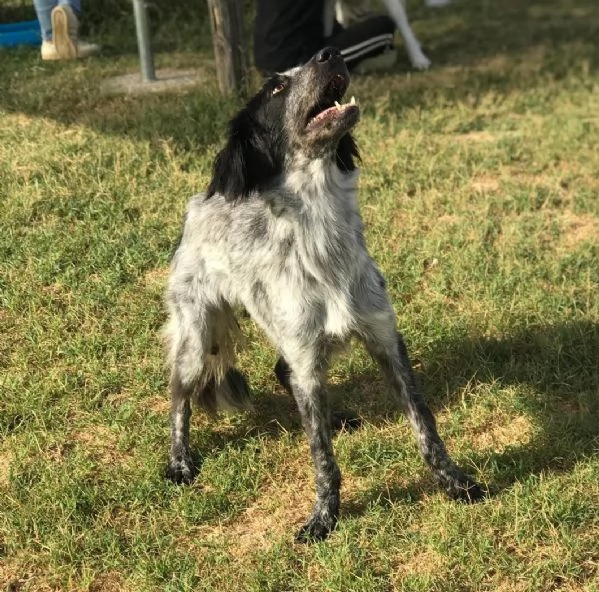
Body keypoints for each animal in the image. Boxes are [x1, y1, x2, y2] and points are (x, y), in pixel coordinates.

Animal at [163, 48, 482, 544]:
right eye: (276, 87)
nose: (330, 53)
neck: (320, 230)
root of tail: (201, 199)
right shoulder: (307, 353)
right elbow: (322, 458)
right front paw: (325, 518)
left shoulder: (384, 338)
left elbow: (425, 425)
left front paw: (454, 482)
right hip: (198, 335)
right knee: (179, 394)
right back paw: (179, 460)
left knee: (284, 373)